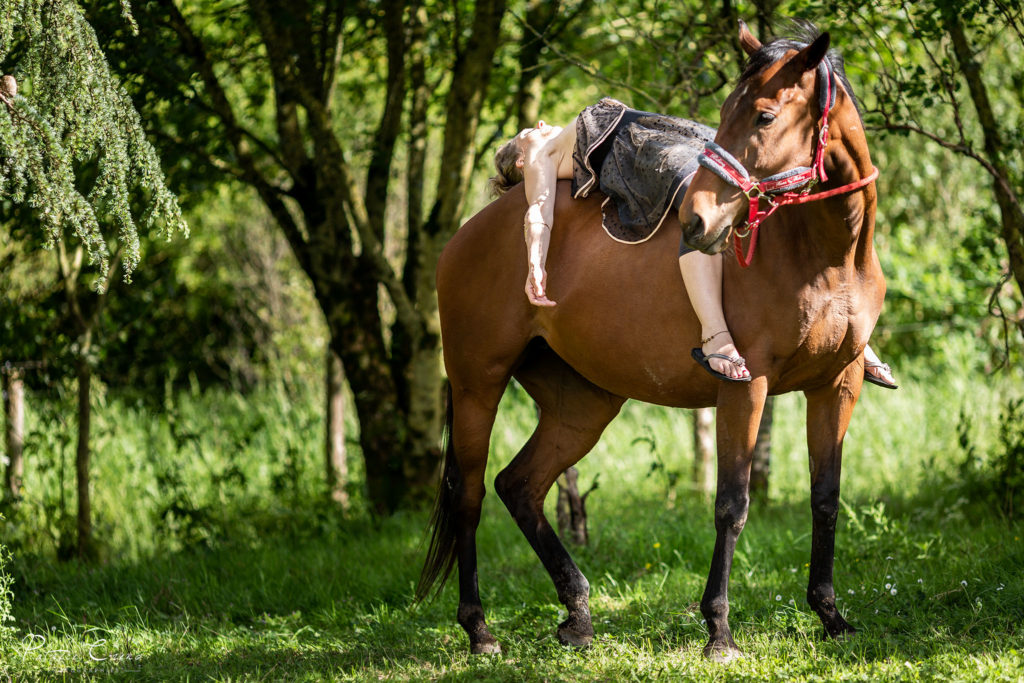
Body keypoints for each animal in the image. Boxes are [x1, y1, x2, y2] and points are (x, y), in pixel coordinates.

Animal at [419, 22, 884, 663]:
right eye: (727, 112)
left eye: (764, 116)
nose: (697, 222)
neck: (823, 255)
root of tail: (466, 235)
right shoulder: (747, 388)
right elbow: (731, 505)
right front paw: (719, 631)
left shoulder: (838, 385)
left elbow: (826, 498)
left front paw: (831, 616)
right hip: (477, 386)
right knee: (468, 494)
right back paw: (480, 628)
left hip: (582, 405)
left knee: (520, 485)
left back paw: (577, 614)